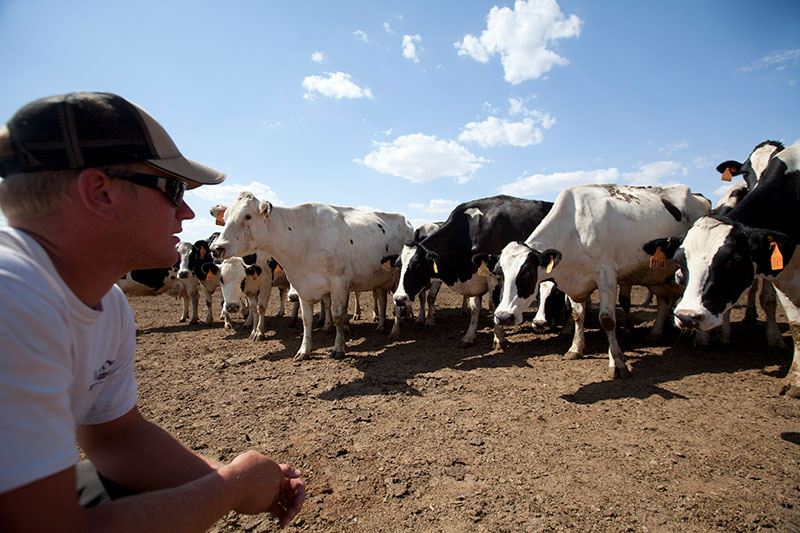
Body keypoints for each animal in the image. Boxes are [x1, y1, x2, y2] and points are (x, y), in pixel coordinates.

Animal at [209, 193, 412, 360]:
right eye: (225, 218)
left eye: (247, 216)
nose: (216, 247)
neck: (304, 240)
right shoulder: (302, 286)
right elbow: (306, 320)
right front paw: (304, 350)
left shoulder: (339, 284)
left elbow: (338, 316)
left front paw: (338, 348)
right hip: (380, 281)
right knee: (382, 300)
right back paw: (382, 326)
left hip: (398, 280)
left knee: (396, 306)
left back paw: (394, 331)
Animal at [390, 193, 552, 348]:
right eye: (398, 265)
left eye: (417, 265)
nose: (399, 299)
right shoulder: (475, 279)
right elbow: (475, 308)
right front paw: (469, 336)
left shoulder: (494, 276)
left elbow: (495, 304)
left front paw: (499, 338)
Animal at [490, 183, 708, 378]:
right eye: (499, 274)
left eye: (527, 272)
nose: (503, 317)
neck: (575, 228)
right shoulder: (577, 281)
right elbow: (578, 315)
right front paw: (576, 348)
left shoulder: (607, 276)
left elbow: (607, 320)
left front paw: (617, 363)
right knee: (663, 301)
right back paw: (656, 332)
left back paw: (699, 338)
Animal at [644, 143, 800, 396]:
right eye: (680, 261)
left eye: (733, 260)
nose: (687, 317)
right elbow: (797, 326)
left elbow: (768, 301)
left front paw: (776, 343)